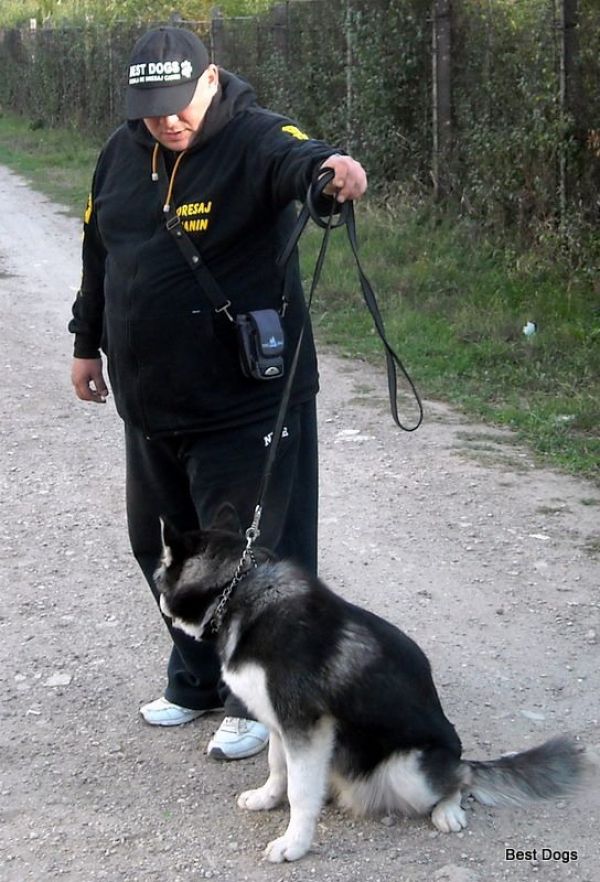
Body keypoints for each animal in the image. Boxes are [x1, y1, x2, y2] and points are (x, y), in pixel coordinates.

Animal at [156, 505, 590, 863]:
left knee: (460, 779)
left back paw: (449, 808)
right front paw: (267, 798)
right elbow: (279, 768)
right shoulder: (281, 722)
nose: (158, 596)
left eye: (159, 576)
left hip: (409, 771)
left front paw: (294, 844)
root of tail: (456, 756)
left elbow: (300, 791)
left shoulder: (305, 727)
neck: (236, 592)